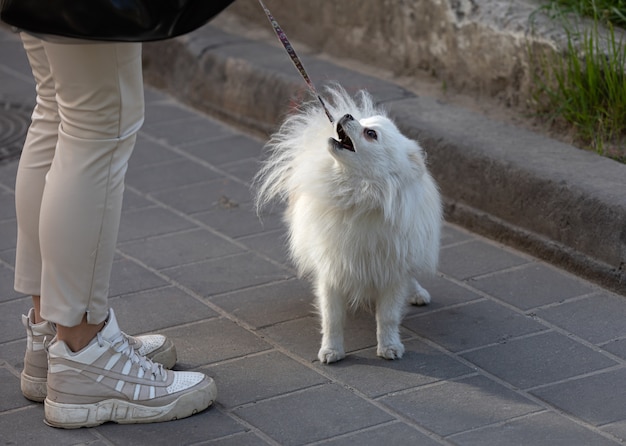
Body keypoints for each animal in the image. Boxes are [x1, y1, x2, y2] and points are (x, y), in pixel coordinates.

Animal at [252, 85, 438, 364]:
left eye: (371, 134)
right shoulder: (332, 267)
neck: (360, 194)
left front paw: (389, 347)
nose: (348, 115)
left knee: (411, 273)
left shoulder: (392, 269)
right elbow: (332, 318)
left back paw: (416, 292)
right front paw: (332, 350)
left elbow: (388, 316)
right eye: (362, 122)